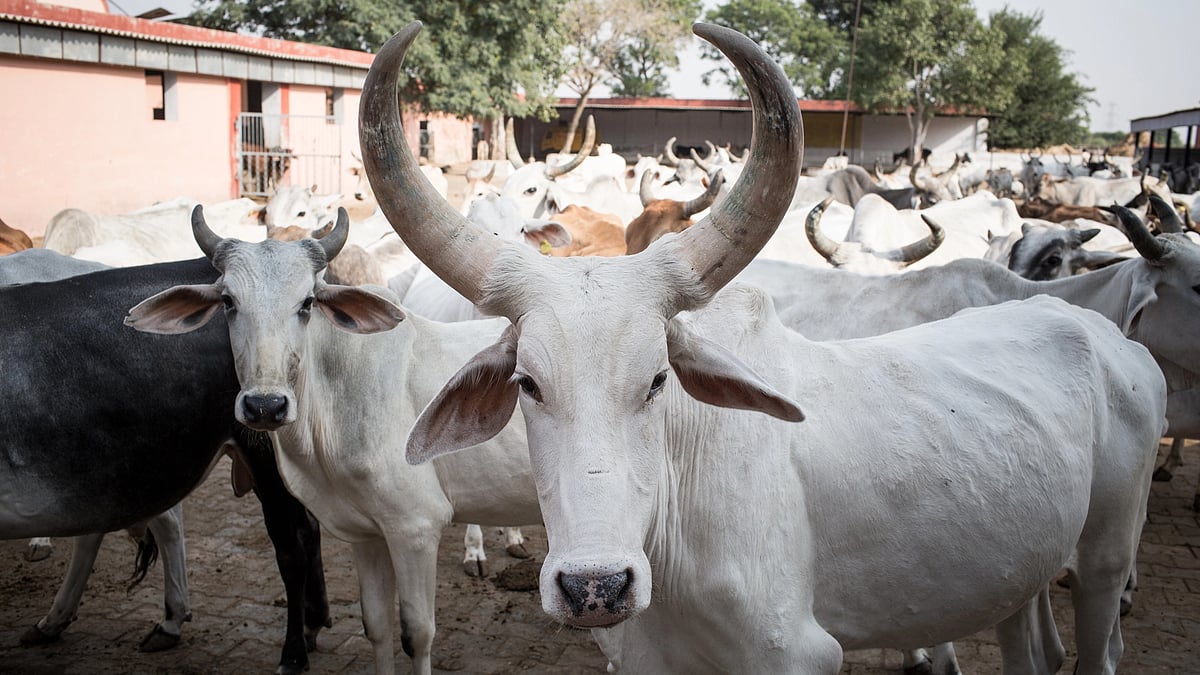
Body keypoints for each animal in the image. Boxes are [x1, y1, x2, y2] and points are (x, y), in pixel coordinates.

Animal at [361, 22, 1164, 675]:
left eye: (659, 380)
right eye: (527, 383)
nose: (596, 586)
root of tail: (1101, 333)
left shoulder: (793, 655)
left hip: (1105, 557)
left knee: (1100, 642)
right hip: (1015, 576)